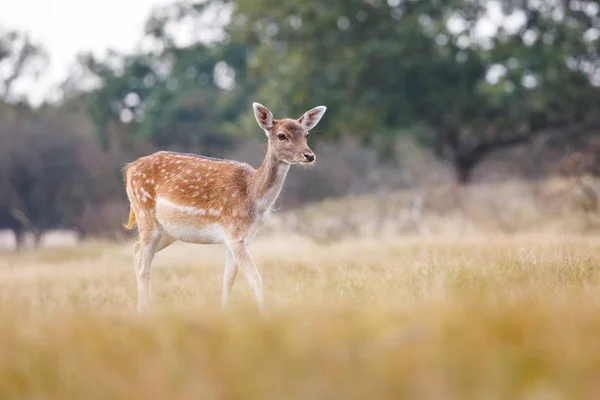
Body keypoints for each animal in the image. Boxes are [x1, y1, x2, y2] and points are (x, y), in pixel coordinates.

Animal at [123, 102, 328, 312]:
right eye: (281, 135)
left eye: (306, 134)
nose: (309, 155)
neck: (253, 197)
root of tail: (129, 170)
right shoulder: (234, 232)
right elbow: (255, 278)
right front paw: (264, 313)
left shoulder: (240, 237)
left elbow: (228, 279)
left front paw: (224, 312)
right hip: (145, 214)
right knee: (143, 266)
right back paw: (144, 311)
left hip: (168, 231)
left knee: (137, 250)